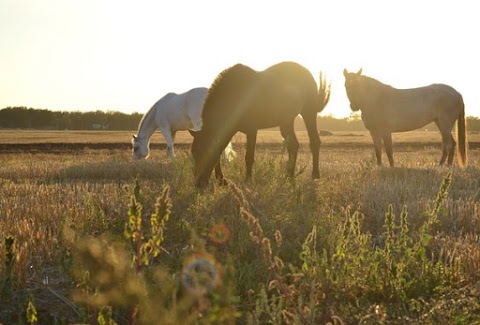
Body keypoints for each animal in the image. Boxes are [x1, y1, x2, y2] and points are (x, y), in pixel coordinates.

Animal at [190, 61, 330, 187]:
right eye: (194, 153)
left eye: (205, 151)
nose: (198, 183)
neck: (235, 96)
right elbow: (220, 153)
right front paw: (222, 180)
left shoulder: (252, 129)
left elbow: (248, 157)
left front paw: (247, 181)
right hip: (287, 121)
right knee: (295, 145)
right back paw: (290, 177)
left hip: (308, 112)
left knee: (311, 142)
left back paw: (312, 176)